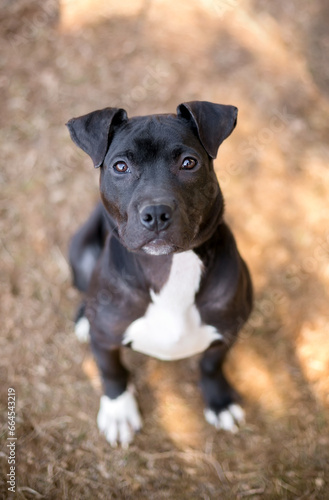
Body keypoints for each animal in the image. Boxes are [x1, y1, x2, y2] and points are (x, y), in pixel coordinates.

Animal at [66, 100, 251, 446]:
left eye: (189, 163)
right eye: (120, 166)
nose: (155, 213)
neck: (170, 266)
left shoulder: (228, 330)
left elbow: (211, 364)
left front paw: (219, 402)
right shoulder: (105, 338)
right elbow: (112, 372)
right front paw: (118, 412)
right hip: (81, 254)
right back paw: (84, 318)